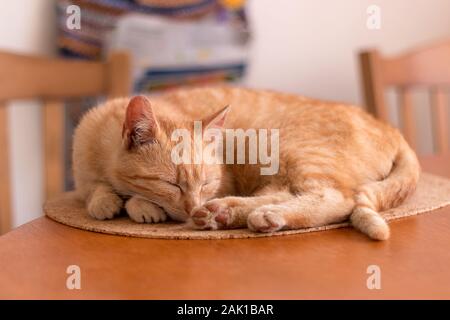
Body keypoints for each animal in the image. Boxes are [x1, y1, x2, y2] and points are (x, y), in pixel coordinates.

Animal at [72, 85, 420, 240]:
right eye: (171, 183)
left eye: (206, 183)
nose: (192, 207)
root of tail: (392, 129)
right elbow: (92, 190)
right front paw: (107, 200)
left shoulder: (224, 180)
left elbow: (128, 198)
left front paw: (139, 206)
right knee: (279, 194)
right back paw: (225, 214)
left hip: (290, 148)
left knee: (336, 199)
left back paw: (251, 215)